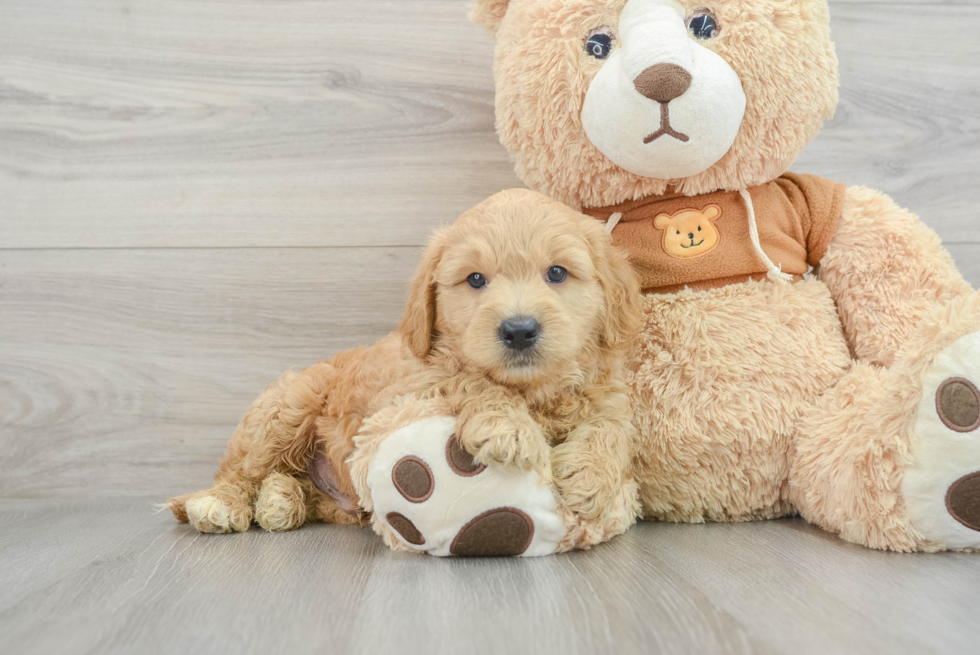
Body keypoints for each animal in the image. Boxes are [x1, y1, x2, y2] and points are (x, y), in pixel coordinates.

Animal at [168, 191, 644, 548]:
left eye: (557, 273)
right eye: (475, 280)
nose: (519, 330)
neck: (532, 388)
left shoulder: (607, 390)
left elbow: (613, 426)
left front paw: (591, 476)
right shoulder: (406, 388)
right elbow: (467, 377)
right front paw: (508, 428)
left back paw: (281, 501)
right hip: (291, 404)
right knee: (241, 470)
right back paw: (223, 503)